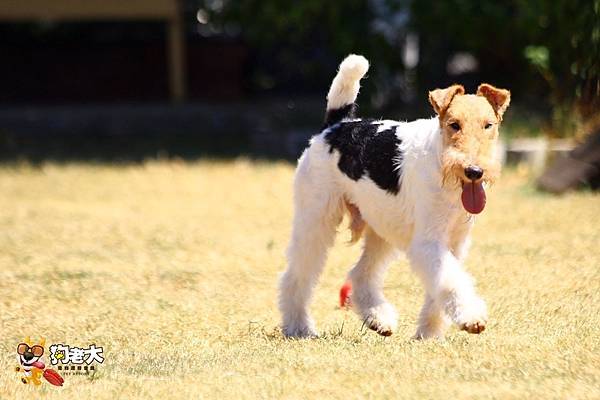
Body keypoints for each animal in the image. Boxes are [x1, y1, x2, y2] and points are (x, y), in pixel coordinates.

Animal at [278, 54, 508, 340]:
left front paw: (429, 333)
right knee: (297, 275)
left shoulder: (455, 242)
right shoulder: (429, 242)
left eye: (489, 125)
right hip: (316, 218)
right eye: (454, 125)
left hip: (382, 227)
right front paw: (471, 318)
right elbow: (451, 281)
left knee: (360, 274)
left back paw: (379, 320)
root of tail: (336, 125)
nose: (474, 171)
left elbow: (443, 284)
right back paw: (299, 327)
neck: (441, 162)